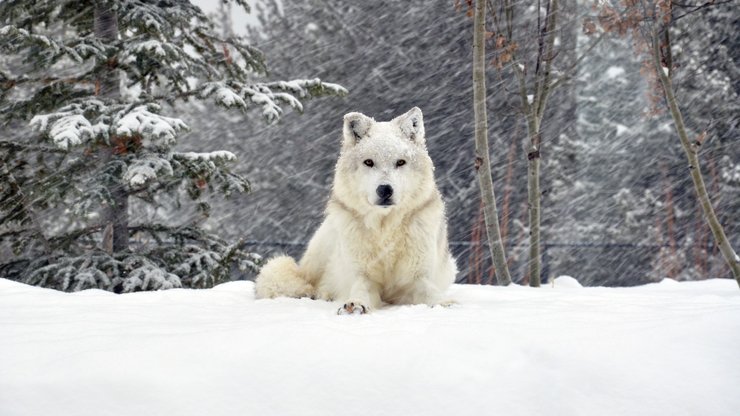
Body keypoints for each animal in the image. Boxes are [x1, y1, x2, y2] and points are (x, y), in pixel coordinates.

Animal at [258, 105, 460, 314]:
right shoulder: (362, 275)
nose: (385, 189)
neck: (385, 229)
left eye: (400, 162)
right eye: (369, 162)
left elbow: (430, 291)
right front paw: (355, 304)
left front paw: (444, 303)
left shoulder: (416, 277)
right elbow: (360, 290)